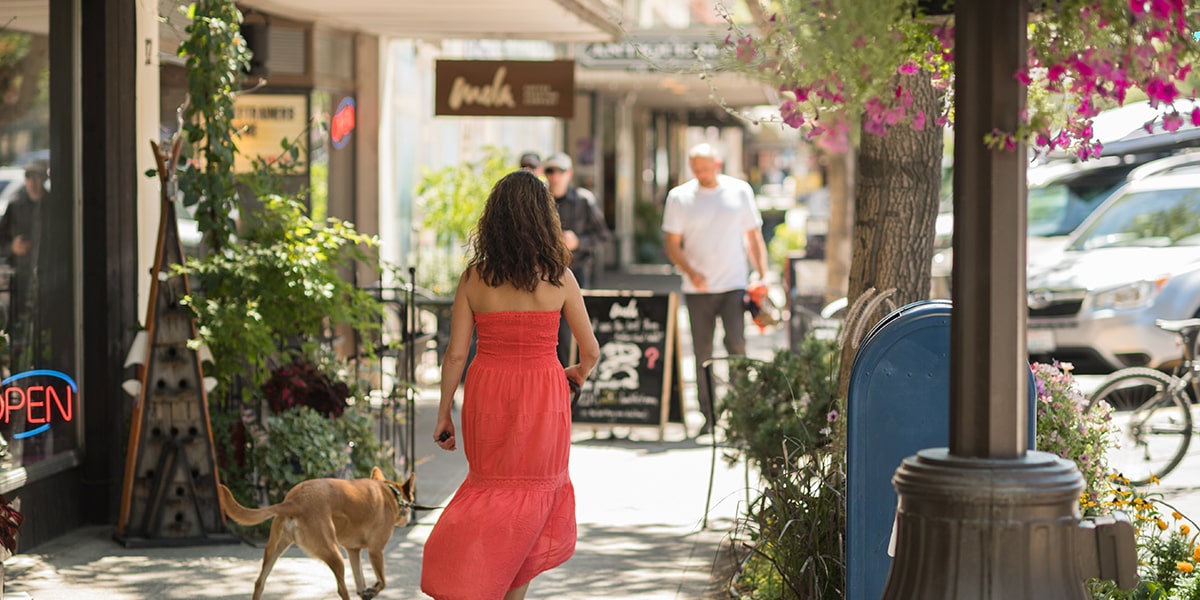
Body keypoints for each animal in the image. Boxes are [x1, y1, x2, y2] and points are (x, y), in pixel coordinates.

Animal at [218, 468, 415, 600]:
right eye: (411, 500)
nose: (409, 516)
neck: (391, 493)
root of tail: (295, 501)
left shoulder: (353, 551)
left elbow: (360, 582)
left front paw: (366, 592)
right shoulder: (375, 551)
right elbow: (382, 581)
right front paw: (372, 590)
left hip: (275, 548)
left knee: (259, 583)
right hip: (334, 554)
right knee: (342, 590)